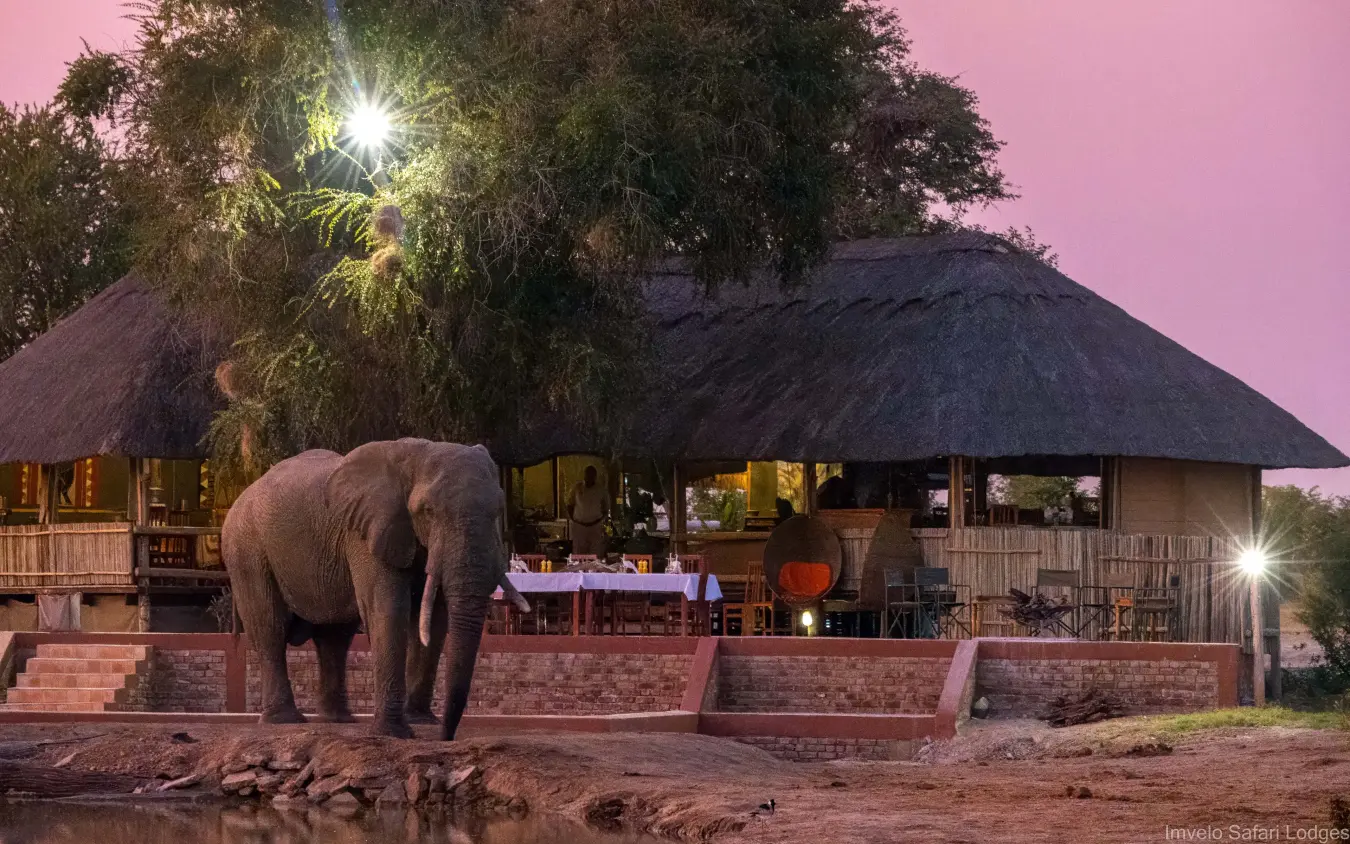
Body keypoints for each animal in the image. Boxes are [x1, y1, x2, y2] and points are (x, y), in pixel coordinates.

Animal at [221, 438, 530, 739]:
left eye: (498, 511)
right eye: (428, 511)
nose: (445, 736)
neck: (418, 453)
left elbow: (434, 620)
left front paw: (420, 721)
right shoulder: (364, 533)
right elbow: (388, 609)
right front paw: (395, 733)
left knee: (334, 637)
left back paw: (338, 720)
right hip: (246, 549)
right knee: (270, 627)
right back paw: (283, 720)